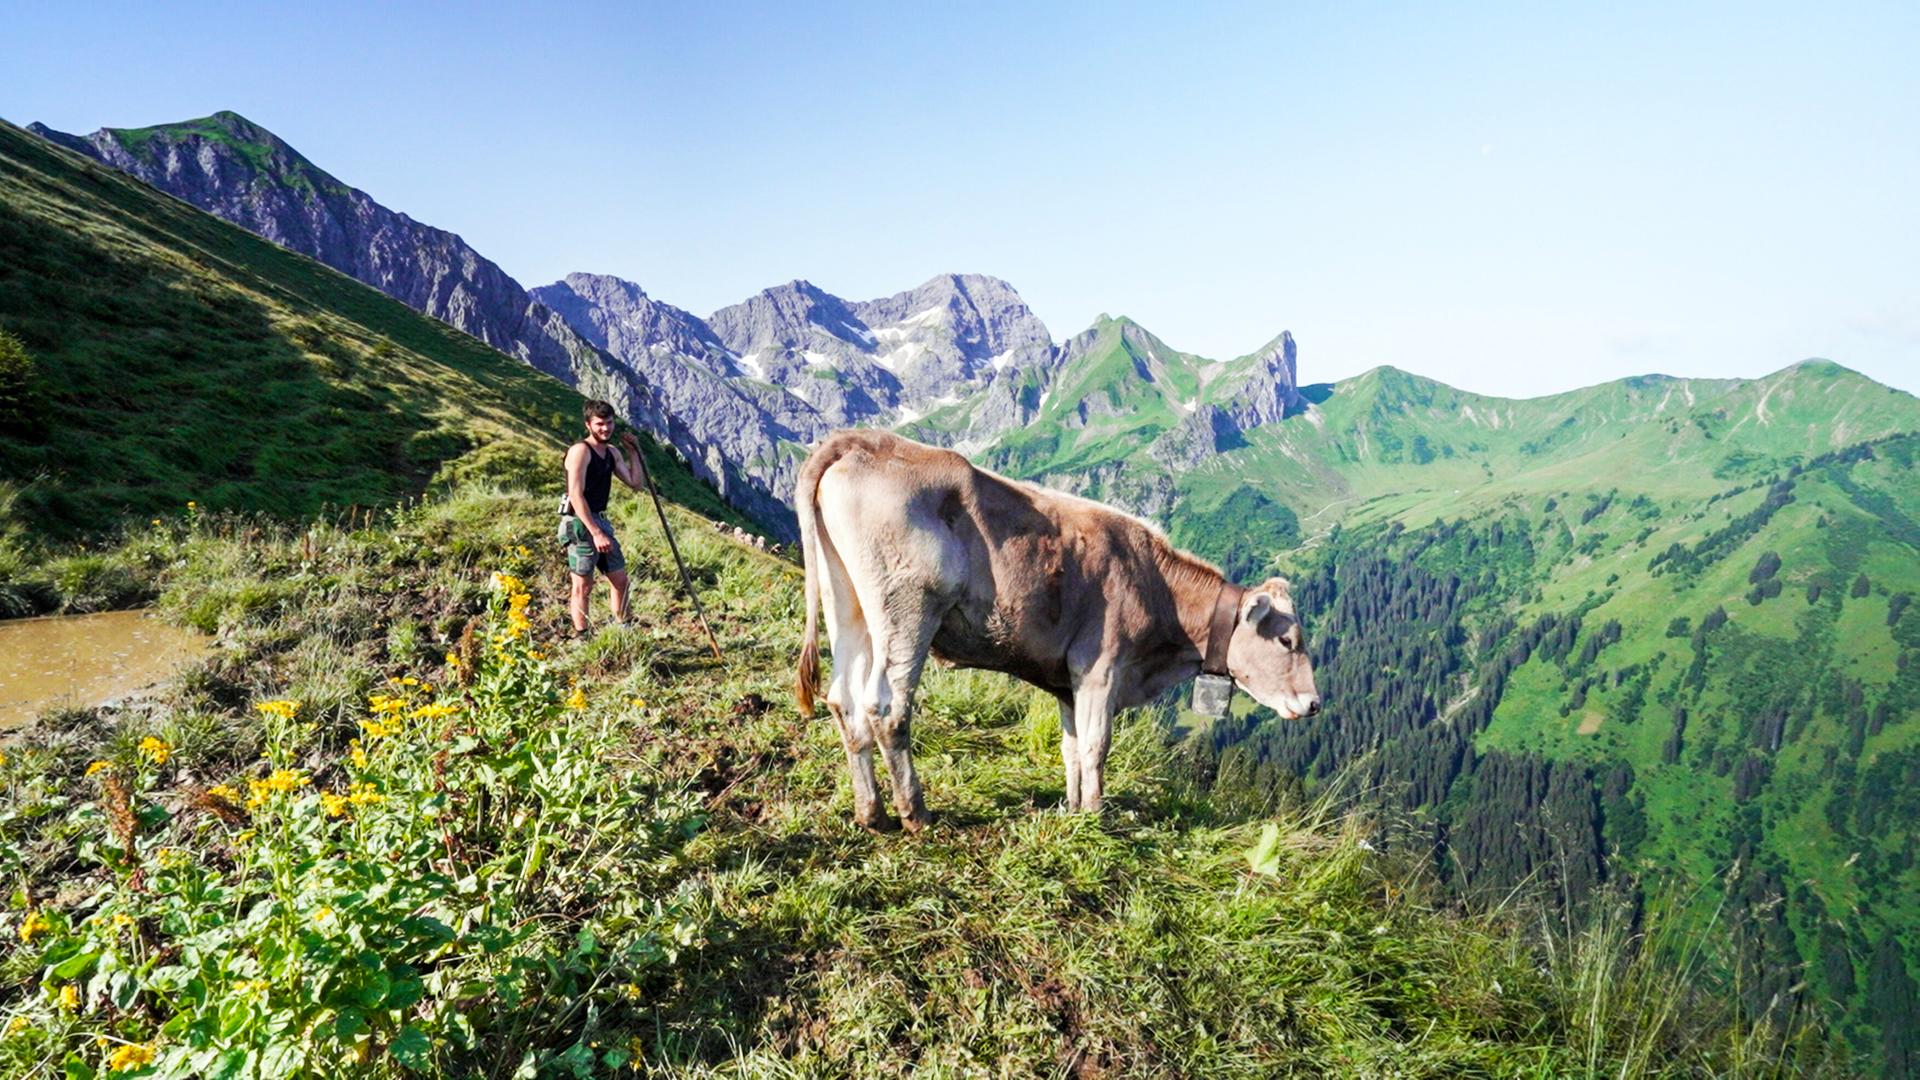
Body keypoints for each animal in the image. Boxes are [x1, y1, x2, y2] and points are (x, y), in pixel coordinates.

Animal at [793, 430, 1320, 830]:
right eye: (1288, 640)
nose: (1314, 704)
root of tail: (862, 439)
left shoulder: (1069, 683)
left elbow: (1071, 748)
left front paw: (1073, 807)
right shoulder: (1101, 668)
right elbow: (1096, 745)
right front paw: (1096, 813)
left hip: (849, 606)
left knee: (843, 700)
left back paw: (871, 812)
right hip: (907, 607)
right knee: (886, 706)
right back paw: (915, 813)